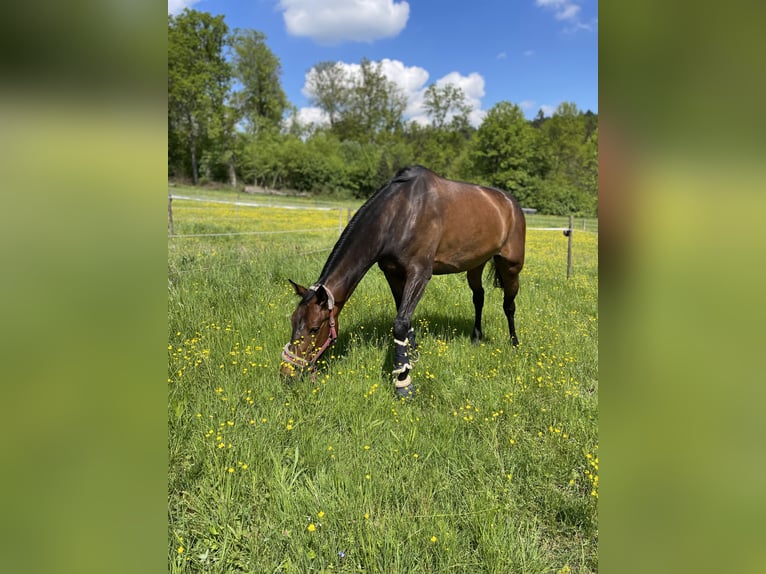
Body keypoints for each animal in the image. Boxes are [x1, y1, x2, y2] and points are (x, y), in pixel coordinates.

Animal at [280, 165, 526, 398]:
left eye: (314, 328)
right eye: (293, 321)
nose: (287, 373)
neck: (401, 213)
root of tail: (511, 204)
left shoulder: (419, 274)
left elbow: (400, 323)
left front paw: (403, 383)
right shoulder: (392, 273)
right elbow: (404, 317)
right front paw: (411, 357)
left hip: (511, 266)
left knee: (509, 304)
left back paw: (514, 343)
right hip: (476, 263)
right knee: (479, 297)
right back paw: (476, 338)